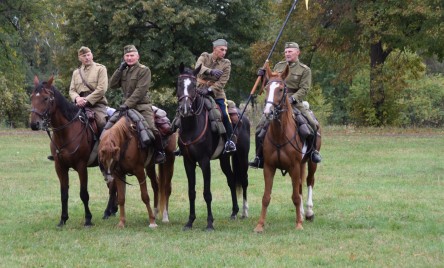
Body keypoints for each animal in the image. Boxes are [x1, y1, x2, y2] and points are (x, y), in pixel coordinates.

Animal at [29, 75, 97, 226]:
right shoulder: (59, 167)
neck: (66, 132)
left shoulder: (82, 166)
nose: (34, 124)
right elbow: (64, 194)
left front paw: (88, 219)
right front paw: (63, 219)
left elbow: (84, 193)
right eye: (31, 97)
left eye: (46, 98)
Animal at [178, 63, 253, 230]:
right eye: (178, 84)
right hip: (224, 159)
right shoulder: (188, 162)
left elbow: (207, 193)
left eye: (194, 85)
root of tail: (243, 117)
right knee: (231, 180)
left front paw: (209, 223)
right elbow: (191, 192)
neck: (192, 127)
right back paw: (234, 212)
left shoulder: (204, 161)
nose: (185, 109)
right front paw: (190, 222)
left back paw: (244, 211)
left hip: (242, 156)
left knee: (244, 180)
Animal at [253, 62, 322, 232]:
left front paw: (298, 224)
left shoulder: (294, 166)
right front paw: (260, 225)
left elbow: (296, 196)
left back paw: (309, 212)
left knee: (309, 181)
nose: (268, 112)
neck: (280, 133)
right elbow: (266, 197)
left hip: (311, 162)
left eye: (281, 89)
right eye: (266, 88)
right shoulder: (269, 167)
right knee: (300, 185)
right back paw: (303, 213)